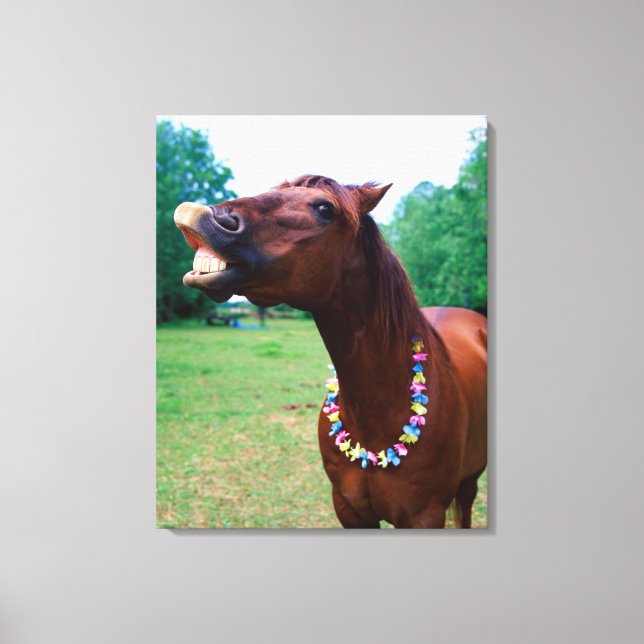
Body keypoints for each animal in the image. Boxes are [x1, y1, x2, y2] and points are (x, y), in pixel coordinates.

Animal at [173, 175, 487, 528]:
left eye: (325, 209)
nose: (199, 214)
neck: (378, 413)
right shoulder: (349, 509)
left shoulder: (424, 516)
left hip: (471, 478)